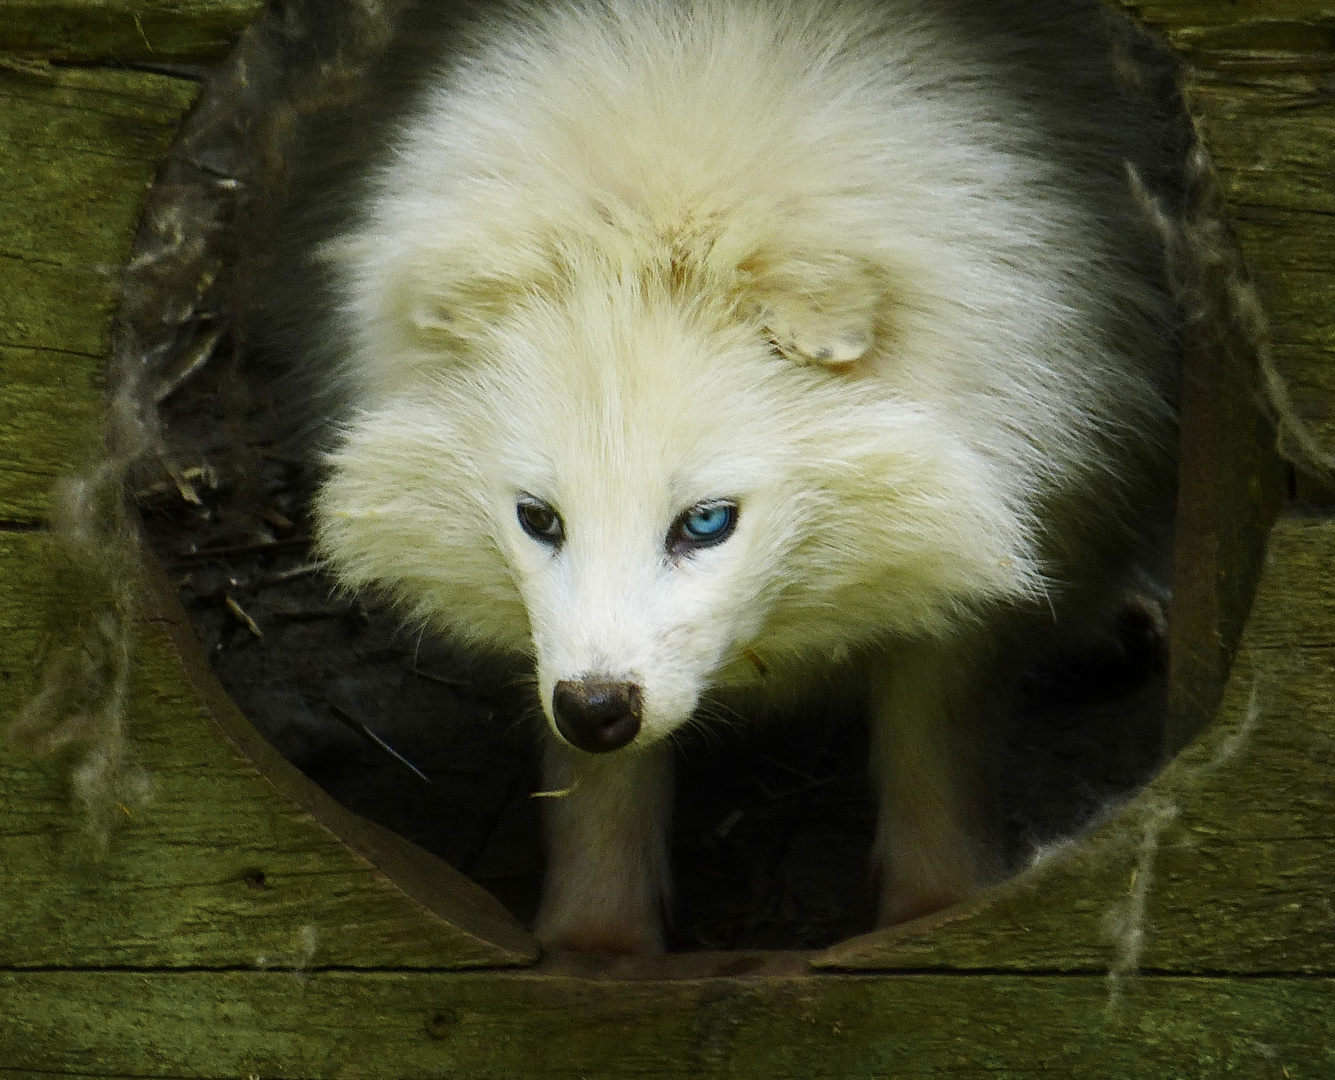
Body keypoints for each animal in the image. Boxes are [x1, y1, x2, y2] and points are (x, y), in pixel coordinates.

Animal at [303, 0, 1180, 950]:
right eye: (538, 518)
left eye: (705, 522)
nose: (596, 710)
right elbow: (598, 793)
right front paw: (596, 946)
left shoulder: (974, 553)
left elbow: (933, 754)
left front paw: (934, 915)